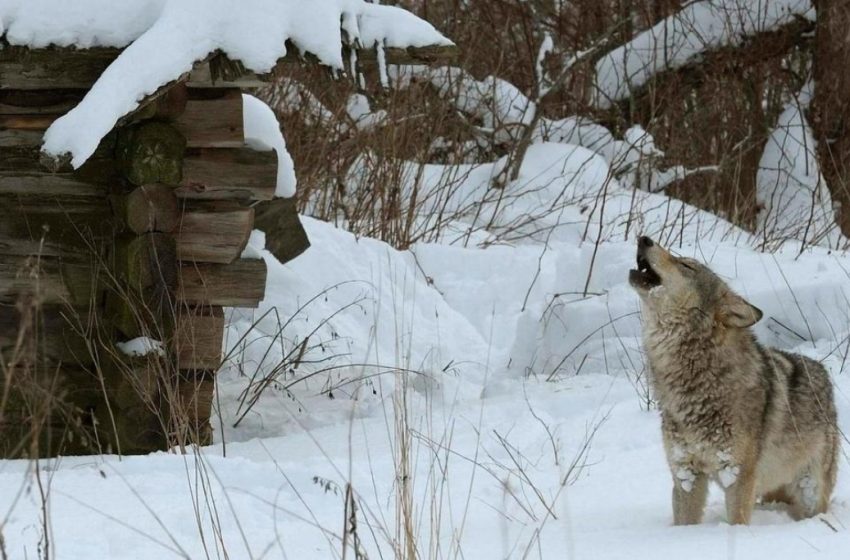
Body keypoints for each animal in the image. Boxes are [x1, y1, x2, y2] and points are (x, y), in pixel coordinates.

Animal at [628, 236, 840, 524]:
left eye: (686, 265)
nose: (644, 238)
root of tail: (822, 372)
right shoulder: (685, 473)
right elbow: (684, 522)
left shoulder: (738, 475)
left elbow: (737, 522)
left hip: (810, 489)